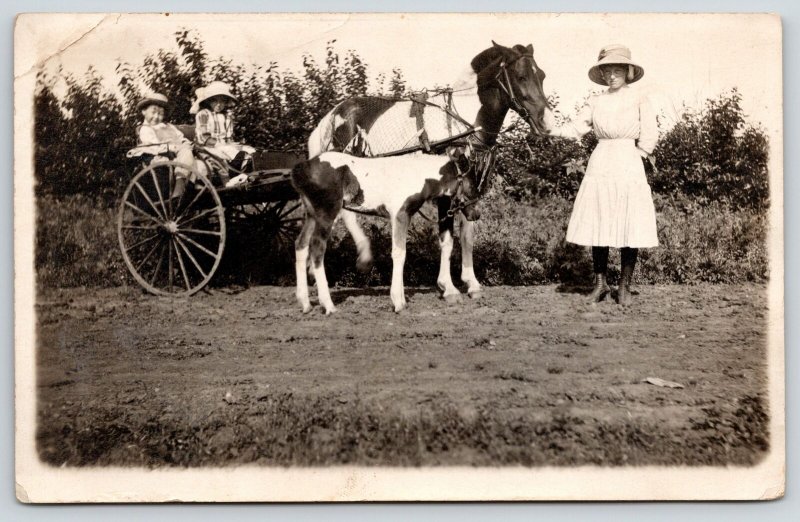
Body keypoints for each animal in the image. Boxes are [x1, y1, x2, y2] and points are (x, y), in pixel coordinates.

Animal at [290, 150, 478, 312]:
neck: (417, 175)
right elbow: (399, 254)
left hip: (311, 215)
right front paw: (398, 302)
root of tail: (302, 168)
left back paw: (305, 303)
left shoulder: (401, 217)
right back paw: (328, 305)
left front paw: (401, 299)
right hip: (326, 214)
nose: (476, 215)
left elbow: (400, 252)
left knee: (301, 245)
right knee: (317, 248)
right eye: (472, 185)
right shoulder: (400, 215)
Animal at [304, 42, 552, 302]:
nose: (546, 123)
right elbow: (447, 239)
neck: (461, 128)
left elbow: (467, 236)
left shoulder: (469, 189)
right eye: (521, 76)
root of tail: (328, 119)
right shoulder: (446, 191)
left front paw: (471, 283)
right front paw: (448, 287)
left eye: (542, 75)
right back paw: (359, 257)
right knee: (343, 213)